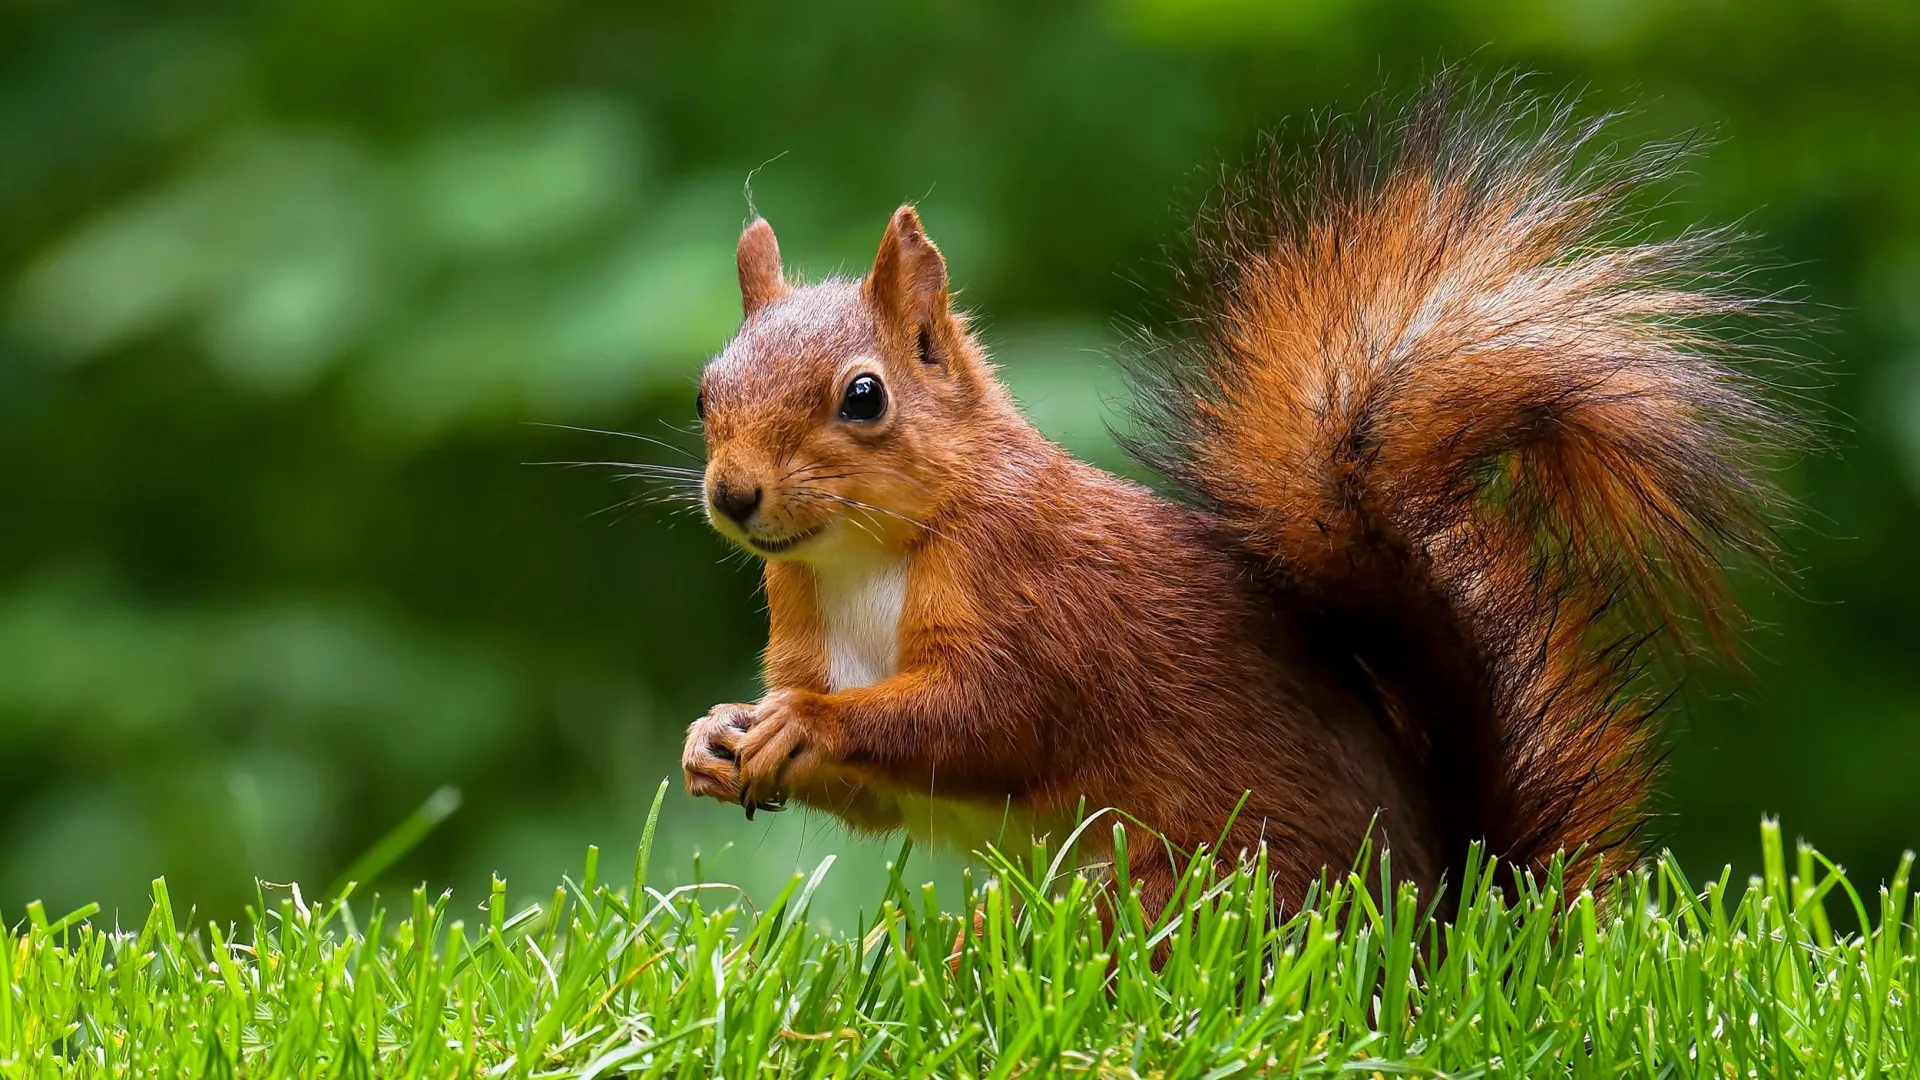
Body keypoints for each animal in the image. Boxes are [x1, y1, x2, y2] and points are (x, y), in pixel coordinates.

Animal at [679, 84, 1797, 907]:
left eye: (864, 396)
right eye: (704, 389)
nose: (734, 496)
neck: (862, 557)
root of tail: (1442, 936)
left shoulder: (1032, 599)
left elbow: (985, 717)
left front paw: (804, 723)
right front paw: (717, 734)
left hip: (1181, 881)